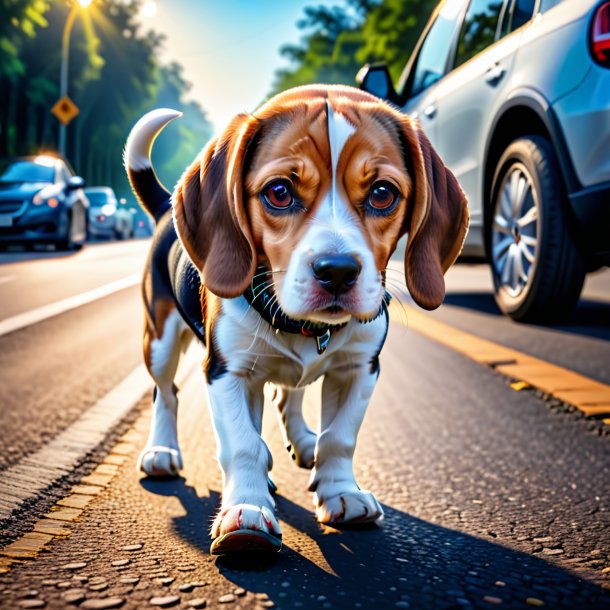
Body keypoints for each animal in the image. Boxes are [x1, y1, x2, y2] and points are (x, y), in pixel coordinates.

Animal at [122, 83, 466, 552]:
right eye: (280, 192)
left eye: (382, 193)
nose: (337, 271)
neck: (304, 327)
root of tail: (163, 209)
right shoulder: (226, 371)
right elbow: (242, 444)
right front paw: (245, 510)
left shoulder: (360, 368)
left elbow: (339, 437)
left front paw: (341, 494)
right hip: (158, 340)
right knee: (166, 393)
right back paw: (161, 452)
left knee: (290, 395)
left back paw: (303, 443)